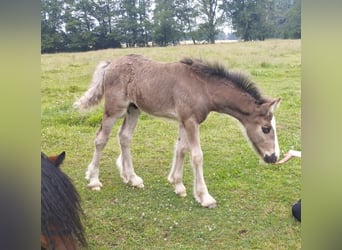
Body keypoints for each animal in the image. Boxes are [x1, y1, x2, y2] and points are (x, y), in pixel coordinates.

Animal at [74, 55, 280, 209]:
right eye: (266, 128)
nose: (273, 157)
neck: (203, 88)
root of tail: (110, 64)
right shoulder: (190, 121)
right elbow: (196, 155)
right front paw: (204, 197)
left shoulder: (184, 121)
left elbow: (181, 149)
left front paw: (178, 184)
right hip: (114, 109)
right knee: (101, 138)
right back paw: (94, 180)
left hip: (134, 109)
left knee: (124, 137)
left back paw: (132, 178)